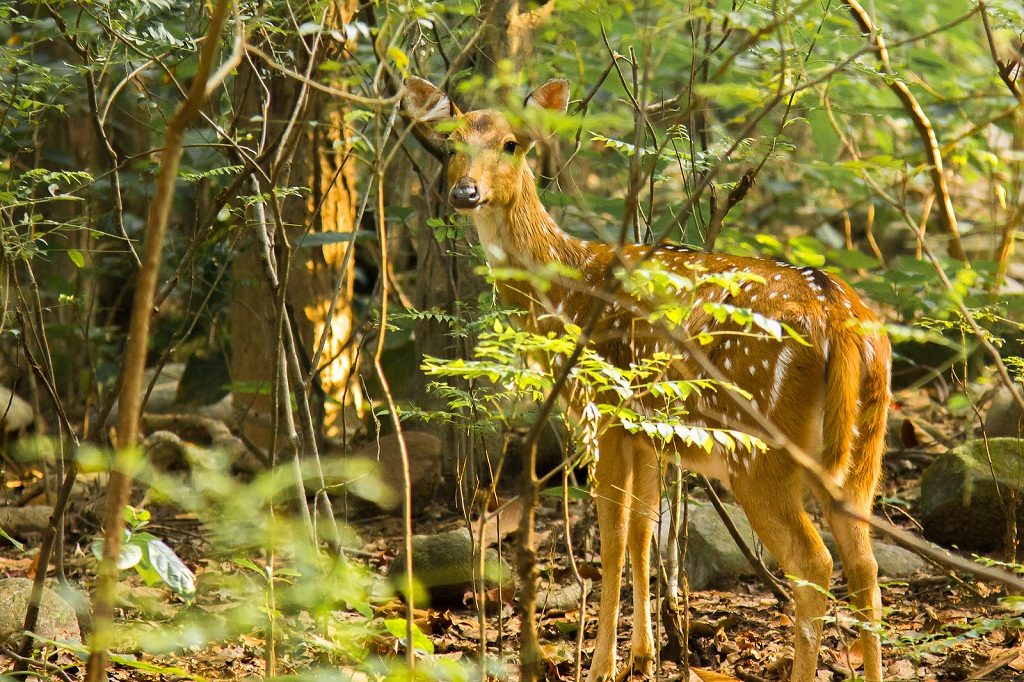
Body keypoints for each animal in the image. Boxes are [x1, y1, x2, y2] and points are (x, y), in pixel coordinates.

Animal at [403, 75, 892, 679]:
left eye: (512, 144)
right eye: (450, 143)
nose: (465, 192)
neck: (564, 293)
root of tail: (841, 319)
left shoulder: (604, 408)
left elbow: (612, 538)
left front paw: (600, 665)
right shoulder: (649, 430)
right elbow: (643, 530)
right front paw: (643, 654)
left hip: (760, 446)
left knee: (815, 562)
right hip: (863, 445)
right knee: (866, 565)